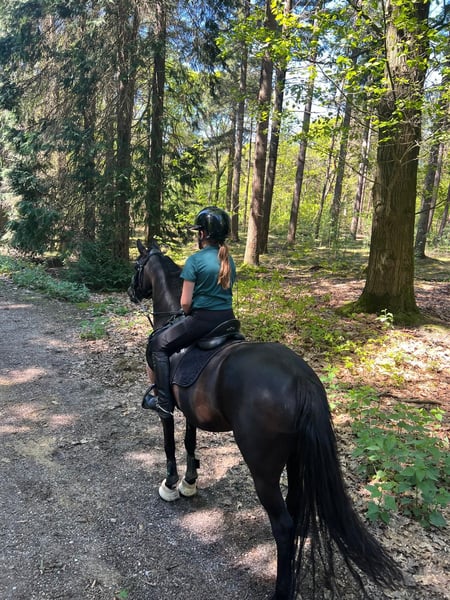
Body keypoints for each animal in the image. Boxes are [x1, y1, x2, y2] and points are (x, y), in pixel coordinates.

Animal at [127, 240, 402, 600]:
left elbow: (170, 443)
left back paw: (282, 589)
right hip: (297, 458)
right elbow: (189, 441)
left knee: (283, 525)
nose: (130, 291)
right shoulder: (189, 409)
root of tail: (301, 379)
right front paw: (190, 481)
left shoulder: (168, 405)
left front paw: (172, 484)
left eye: (137, 266)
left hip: (263, 467)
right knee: (296, 508)